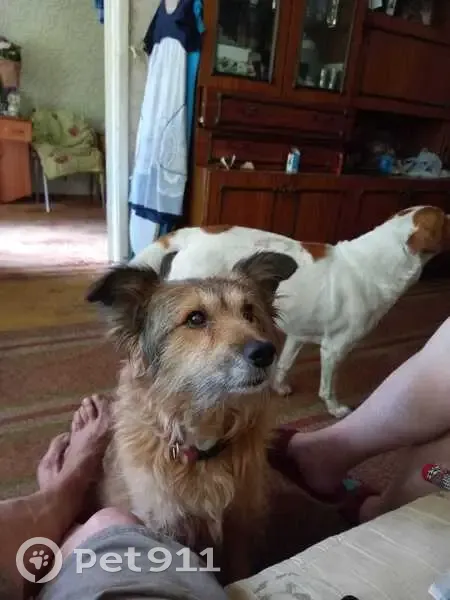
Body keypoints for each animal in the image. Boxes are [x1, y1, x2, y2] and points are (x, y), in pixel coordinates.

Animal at [132, 206, 450, 418]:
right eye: (447, 219)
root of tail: (192, 233)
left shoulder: (298, 334)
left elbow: (284, 363)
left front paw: (280, 387)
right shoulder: (335, 348)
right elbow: (328, 386)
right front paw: (335, 408)